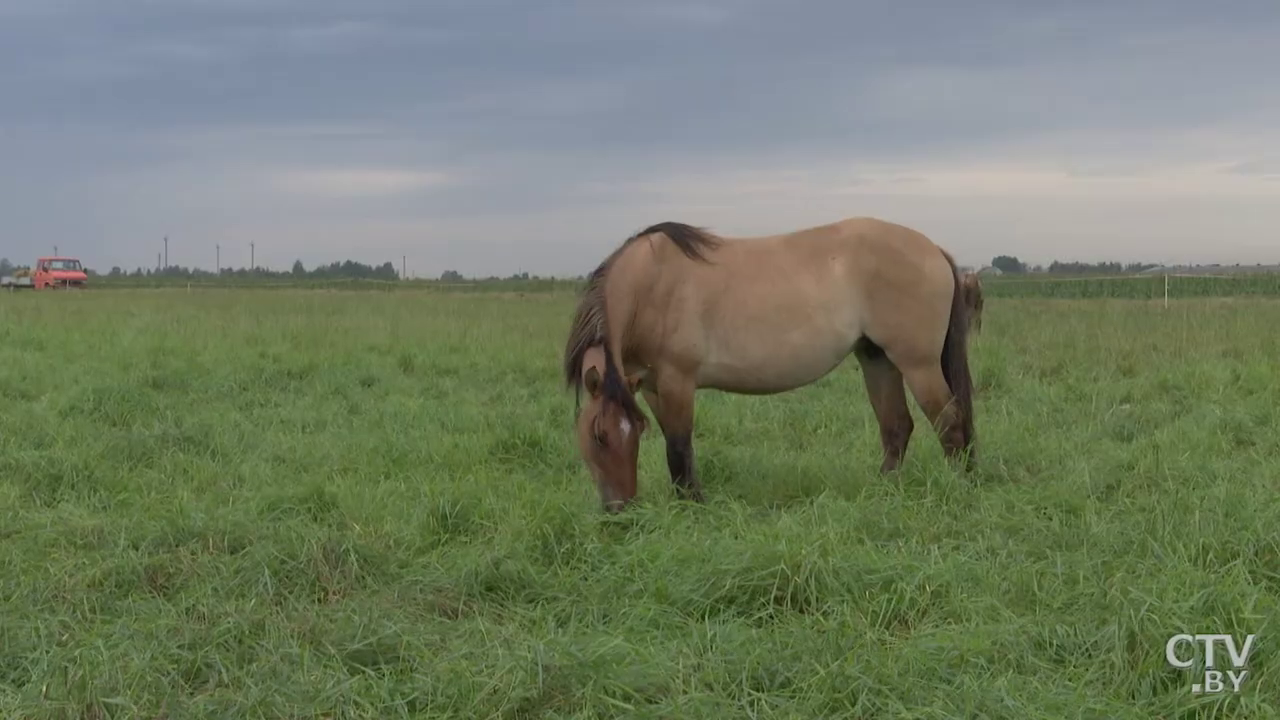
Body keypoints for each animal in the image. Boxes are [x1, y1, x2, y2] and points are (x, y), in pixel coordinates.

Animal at [565, 212, 972, 509]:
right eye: (601, 434)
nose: (619, 510)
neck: (650, 285)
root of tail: (934, 250)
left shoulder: (677, 380)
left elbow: (679, 448)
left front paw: (693, 506)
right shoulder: (650, 386)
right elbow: (674, 443)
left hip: (917, 364)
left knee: (949, 422)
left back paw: (959, 488)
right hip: (877, 359)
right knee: (897, 427)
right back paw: (883, 492)